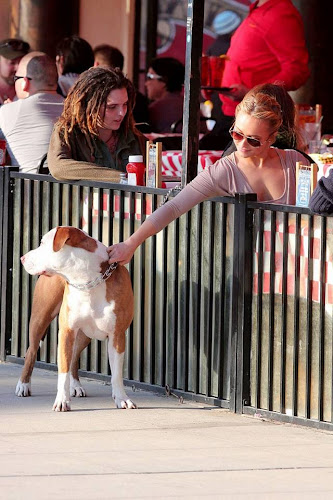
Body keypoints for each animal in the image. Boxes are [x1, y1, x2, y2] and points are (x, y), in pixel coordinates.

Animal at [19, 226, 136, 410]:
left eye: (43, 243)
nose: (22, 258)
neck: (87, 282)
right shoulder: (66, 331)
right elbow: (63, 371)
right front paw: (62, 401)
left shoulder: (117, 335)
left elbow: (116, 374)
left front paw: (121, 398)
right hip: (40, 318)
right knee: (31, 351)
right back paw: (23, 385)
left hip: (84, 335)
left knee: (74, 357)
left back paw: (76, 386)